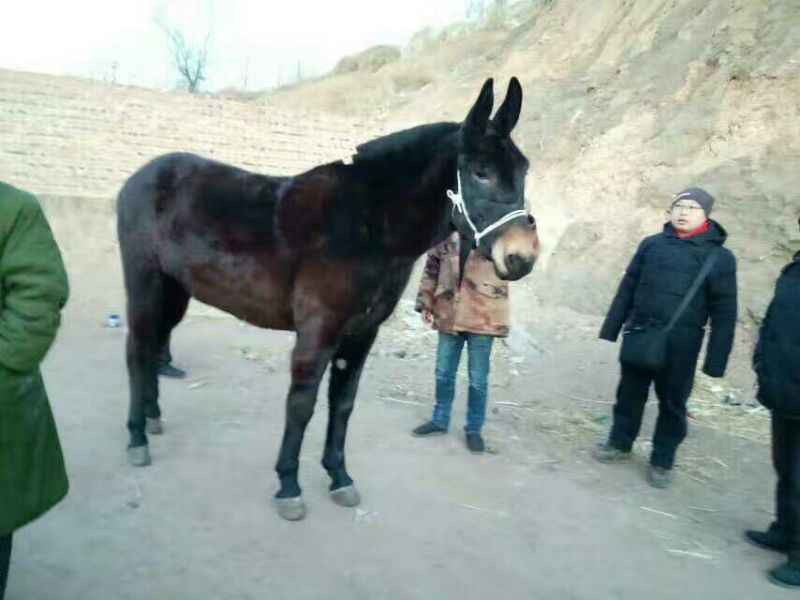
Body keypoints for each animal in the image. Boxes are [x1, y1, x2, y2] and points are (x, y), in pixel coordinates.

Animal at [117, 77, 540, 520]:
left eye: (523, 169)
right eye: (480, 172)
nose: (521, 256)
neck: (366, 225)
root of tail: (141, 176)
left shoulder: (361, 334)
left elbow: (343, 404)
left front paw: (339, 477)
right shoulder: (318, 333)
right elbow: (302, 405)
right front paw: (288, 485)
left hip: (174, 291)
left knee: (153, 346)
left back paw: (152, 417)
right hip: (145, 285)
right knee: (137, 351)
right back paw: (137, 438)